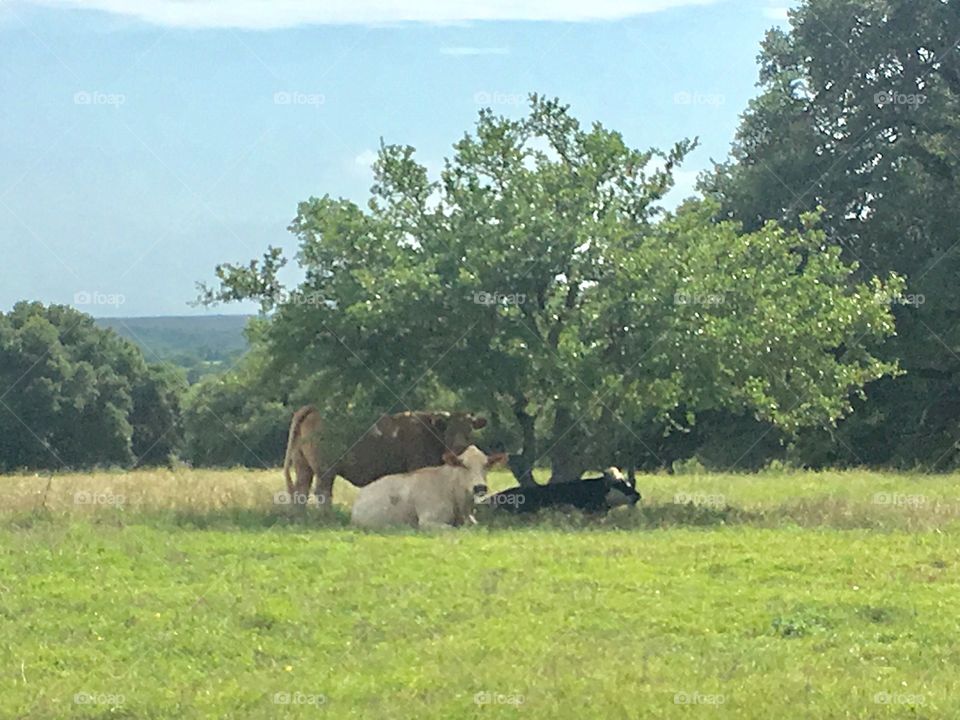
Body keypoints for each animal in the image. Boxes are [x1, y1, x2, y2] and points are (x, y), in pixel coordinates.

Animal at [282, 406, 487, 510]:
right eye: (449, 429)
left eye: (469, 429)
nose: (460, 446)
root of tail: (313, 409)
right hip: (325, 470)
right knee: (322, 493)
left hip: (303, 466)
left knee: (301, 491)